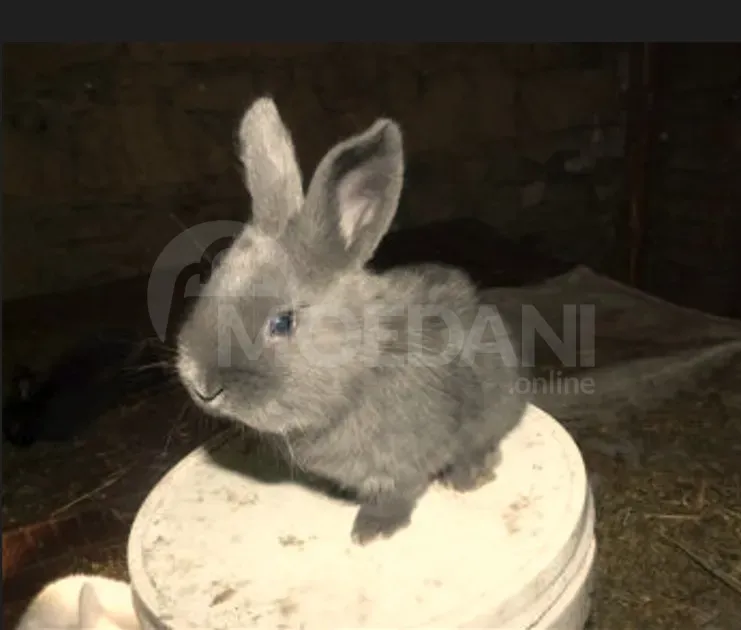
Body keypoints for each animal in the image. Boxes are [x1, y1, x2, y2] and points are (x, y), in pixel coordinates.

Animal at [175, 97, 528, 545]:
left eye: (283, 323)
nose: (201, 385)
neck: (361, 369)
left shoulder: (404, 463)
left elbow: (397, 493)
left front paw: (372, 530)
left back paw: (469, 475)